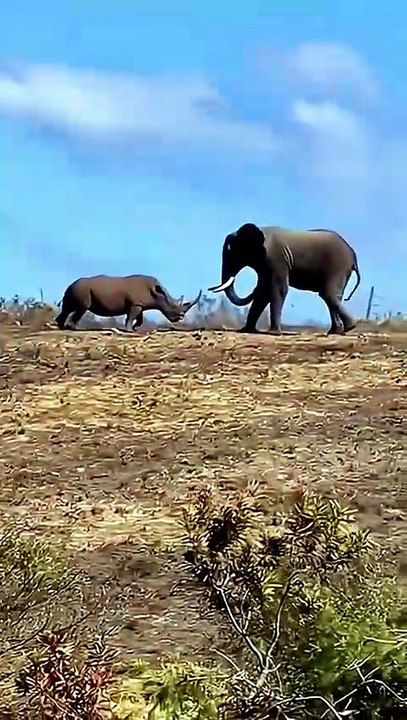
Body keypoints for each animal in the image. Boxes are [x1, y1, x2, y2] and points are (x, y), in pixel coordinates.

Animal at [55, 274, 202, 331]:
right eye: (172, 307)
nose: (180, 317)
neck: (158, 294)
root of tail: (70, 285)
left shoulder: (139, 304)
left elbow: (139, 319)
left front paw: (135, 328)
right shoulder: (136, 304)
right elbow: (131, 317)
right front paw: (130, 330)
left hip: (74, 289)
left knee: (68, 308)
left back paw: (62, 327)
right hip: (81, 289)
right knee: (81, 308)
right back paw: (72, 328)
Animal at [208, 223, 361, 335]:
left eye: (230, 251)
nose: (209, 288)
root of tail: (353, 254)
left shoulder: (275, 259)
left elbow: (277, 289)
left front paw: (273, 333)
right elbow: (264, 292)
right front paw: (246, 330)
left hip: (338, 266)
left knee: (327, 294)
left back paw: (350, 327)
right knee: (332, 296)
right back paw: (336, 331)